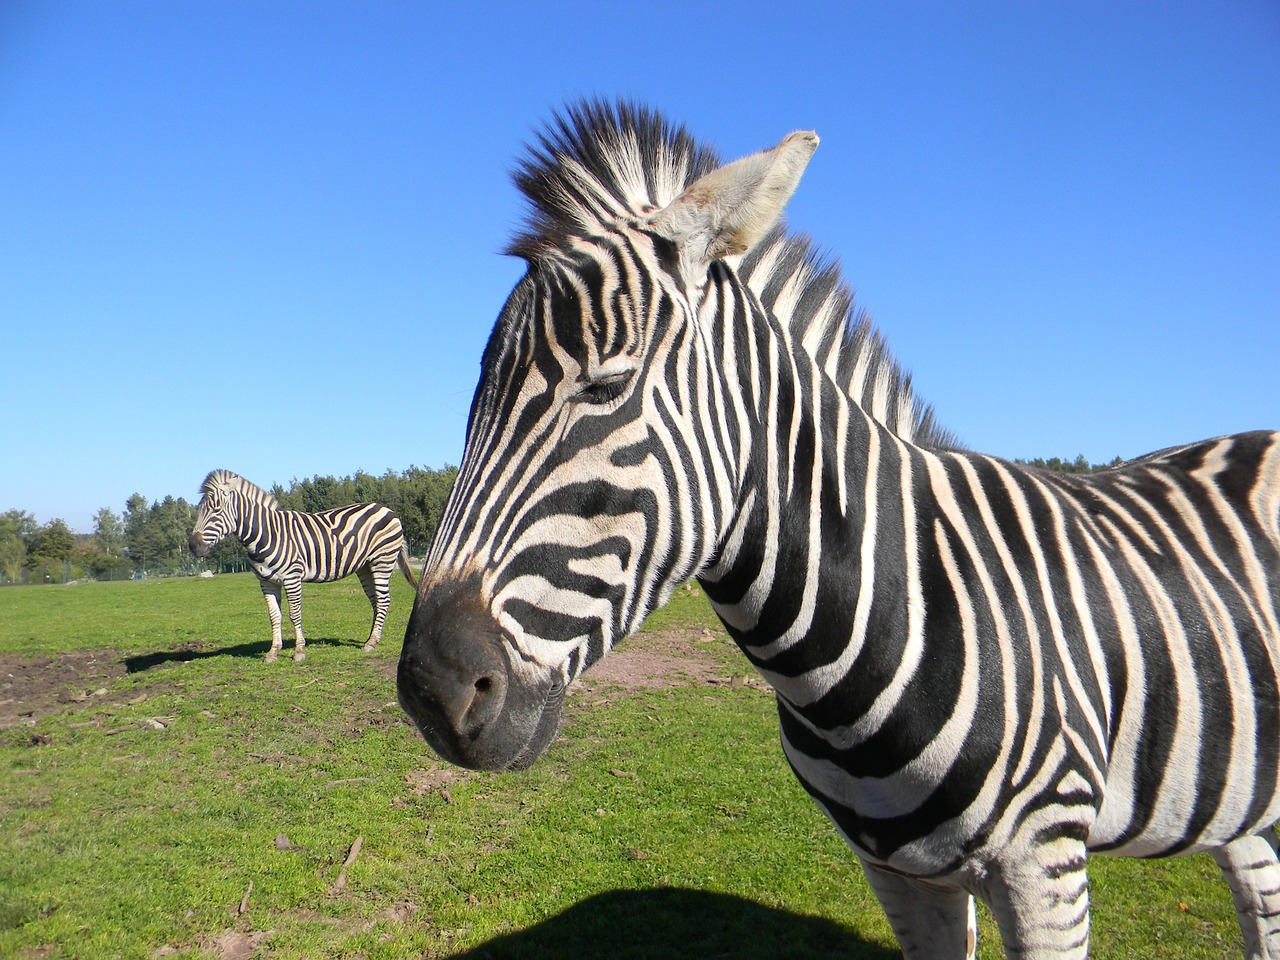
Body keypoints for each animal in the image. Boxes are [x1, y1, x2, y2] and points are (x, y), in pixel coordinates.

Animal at [186, 471, 417, 660]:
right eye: (199, 510)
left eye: (216, 510)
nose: (193, 546)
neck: (267, 534)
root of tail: (386, 509)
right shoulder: (266, 581)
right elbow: (274, 616)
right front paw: (273, 652)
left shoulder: (292, 577)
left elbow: (294, 613)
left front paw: (298, 651)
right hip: (365, 566)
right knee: (376, 601)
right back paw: (371, 639)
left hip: (382, 561)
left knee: (384, 600)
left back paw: (371, 643)